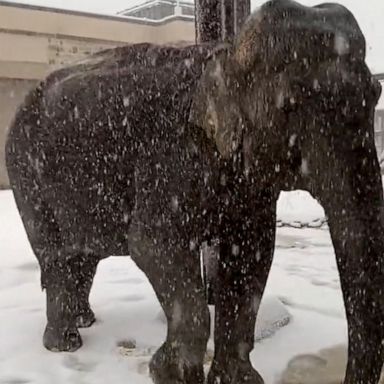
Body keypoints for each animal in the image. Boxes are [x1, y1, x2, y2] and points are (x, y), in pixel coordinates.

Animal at [5, 0, 384, 384]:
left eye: (375, 95)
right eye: (289, 105)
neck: (227, 53)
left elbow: (253, 253)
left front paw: (236, 379)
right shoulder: (170, 154)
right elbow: (154, 244)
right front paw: (172, 373)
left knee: (82, 256)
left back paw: (85, 320)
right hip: (25, 173)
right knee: (57, 258)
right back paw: (65, 343)